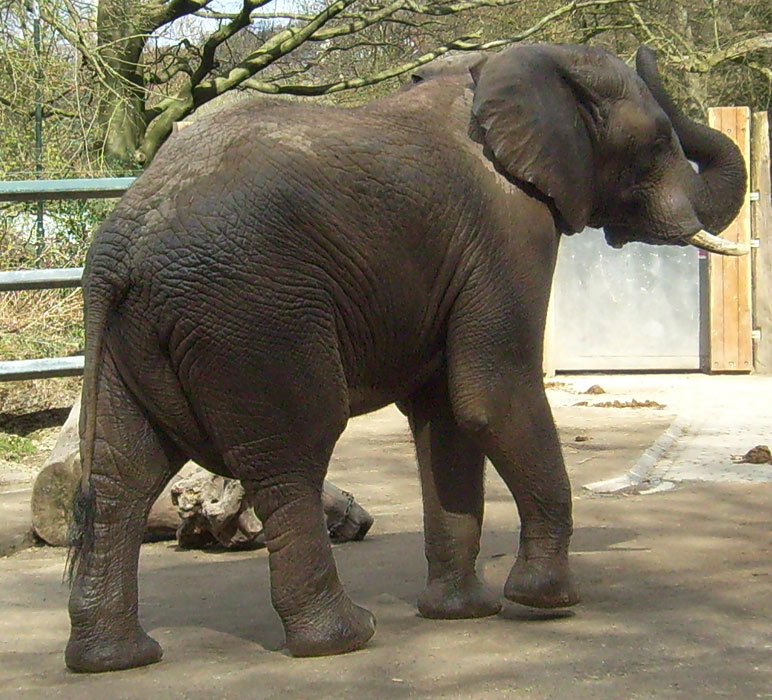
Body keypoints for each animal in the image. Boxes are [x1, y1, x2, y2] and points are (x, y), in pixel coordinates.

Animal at [68, 43, 748, 672]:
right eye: (655, 143)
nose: (649, 49)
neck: (505, 67)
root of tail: (119, 249)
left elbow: (447, 416)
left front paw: (463, 611)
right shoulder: (509, 229)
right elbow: (490, 395)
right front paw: (547, 601)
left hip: (140, 334)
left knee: (123, 473)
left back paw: (116, 658)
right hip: (252, 317)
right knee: (291, 457)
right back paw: (344, 638)